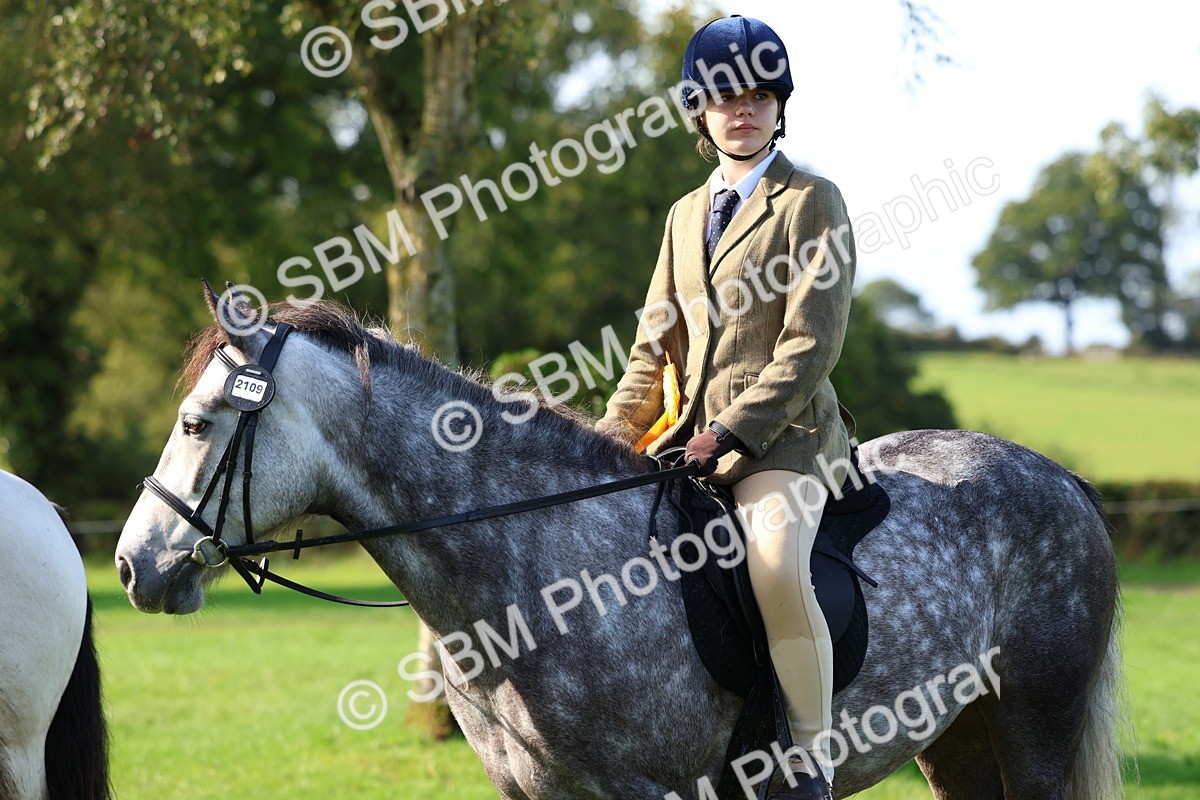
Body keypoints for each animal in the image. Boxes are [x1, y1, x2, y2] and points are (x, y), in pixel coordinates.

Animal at [116, 291, 1124, 800]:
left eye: (198, 424)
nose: (133, 566)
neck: (530, 571)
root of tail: (1058, 477)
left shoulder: (648, 792)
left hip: (1035, 719)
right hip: (958, 739)